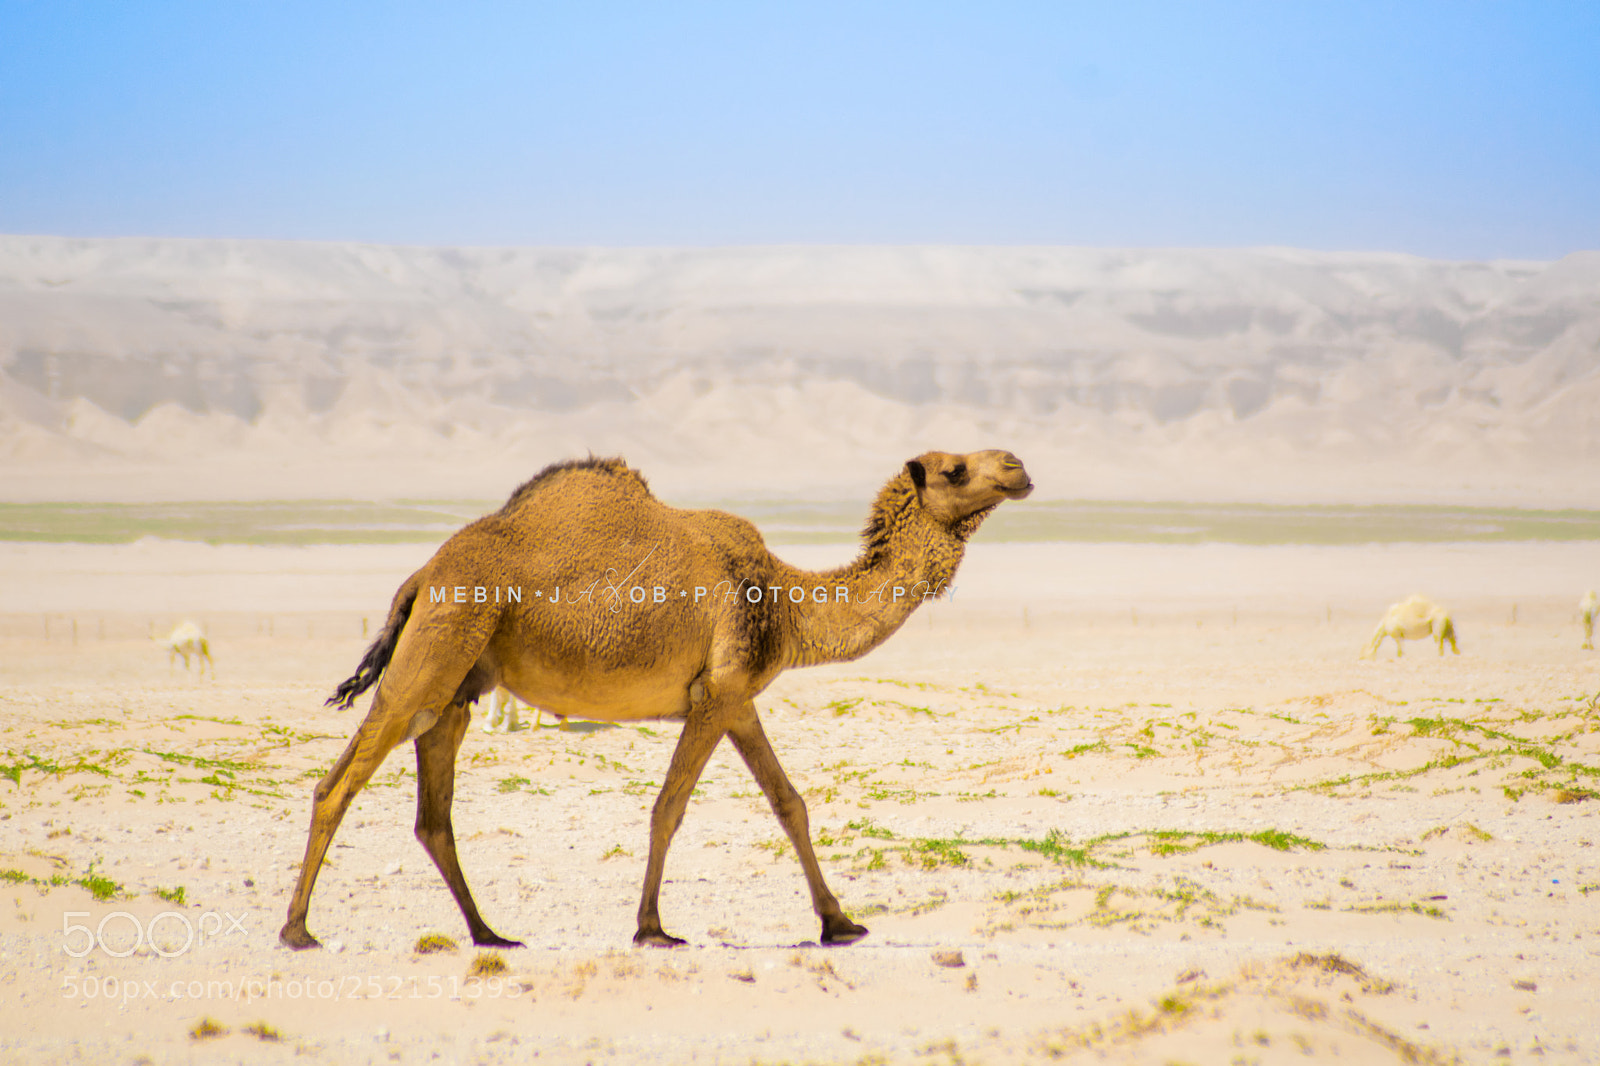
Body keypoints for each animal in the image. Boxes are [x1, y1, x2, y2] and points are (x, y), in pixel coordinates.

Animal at [280, 450, 1032, 951]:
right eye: (956, 469)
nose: (1019, 467)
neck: (787, 602)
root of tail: (421, 573)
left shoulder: (737, 698)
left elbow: (789, 802)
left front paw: (839, 923)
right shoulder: (718, 693)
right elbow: (670, 806)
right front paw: (652, 928)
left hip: (458, 683)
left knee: (434, 815)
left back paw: (490, 933)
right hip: (436, 650)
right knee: (338, 784)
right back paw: (298, 931)